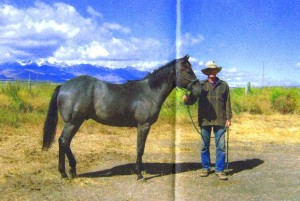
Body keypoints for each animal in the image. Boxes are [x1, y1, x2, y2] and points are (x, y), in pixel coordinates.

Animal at [42, 55, 200, 181]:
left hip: (75, 122)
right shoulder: (143, 125)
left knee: (66, 142)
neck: (149, 92)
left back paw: (72, 171)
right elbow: (140, 149)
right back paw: (64, 173)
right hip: (73, 122)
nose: (197, 90)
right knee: (63, 141)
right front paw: (139, 175)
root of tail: (63, 86)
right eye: (187, 70)